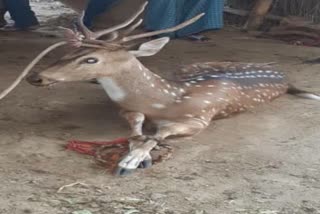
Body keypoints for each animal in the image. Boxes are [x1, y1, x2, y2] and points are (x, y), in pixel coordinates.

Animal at [26, 2, 320, 175]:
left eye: (91, 59)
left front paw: (131, 161)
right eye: (70, 51)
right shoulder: (128, 109)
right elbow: (136, 131)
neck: (165, 100)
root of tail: (284, 76)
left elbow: (157, 135)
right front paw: (135, 152)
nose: (35, 77)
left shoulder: (201, 118)